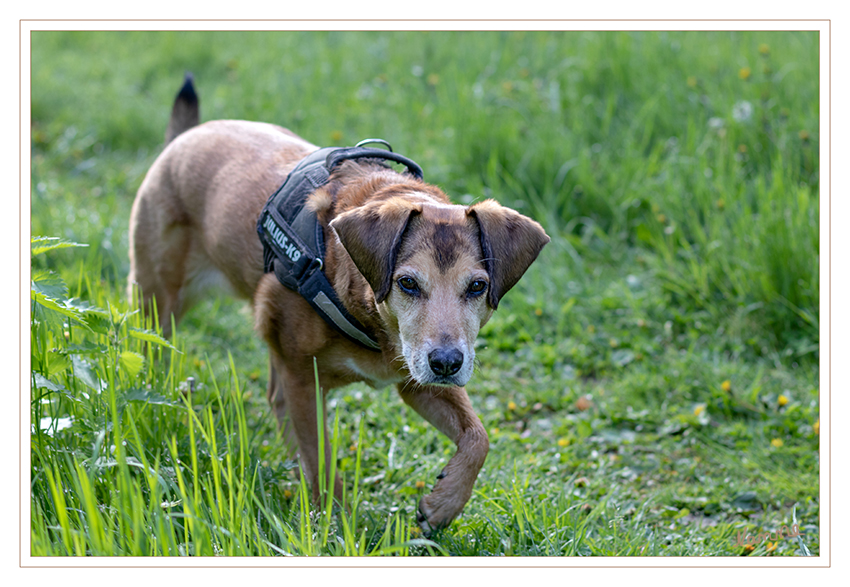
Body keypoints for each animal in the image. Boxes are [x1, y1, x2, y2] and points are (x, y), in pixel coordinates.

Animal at [128, 76, 548, 532]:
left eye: (476, 286)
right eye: (407, 283)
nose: (447, 363)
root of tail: (184, 137)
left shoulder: (414, 378)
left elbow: (478, 437)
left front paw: (444, 503)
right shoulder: (303, 376)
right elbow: (323, 465)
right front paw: (337, 529)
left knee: (276, 400)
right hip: (157, 300)